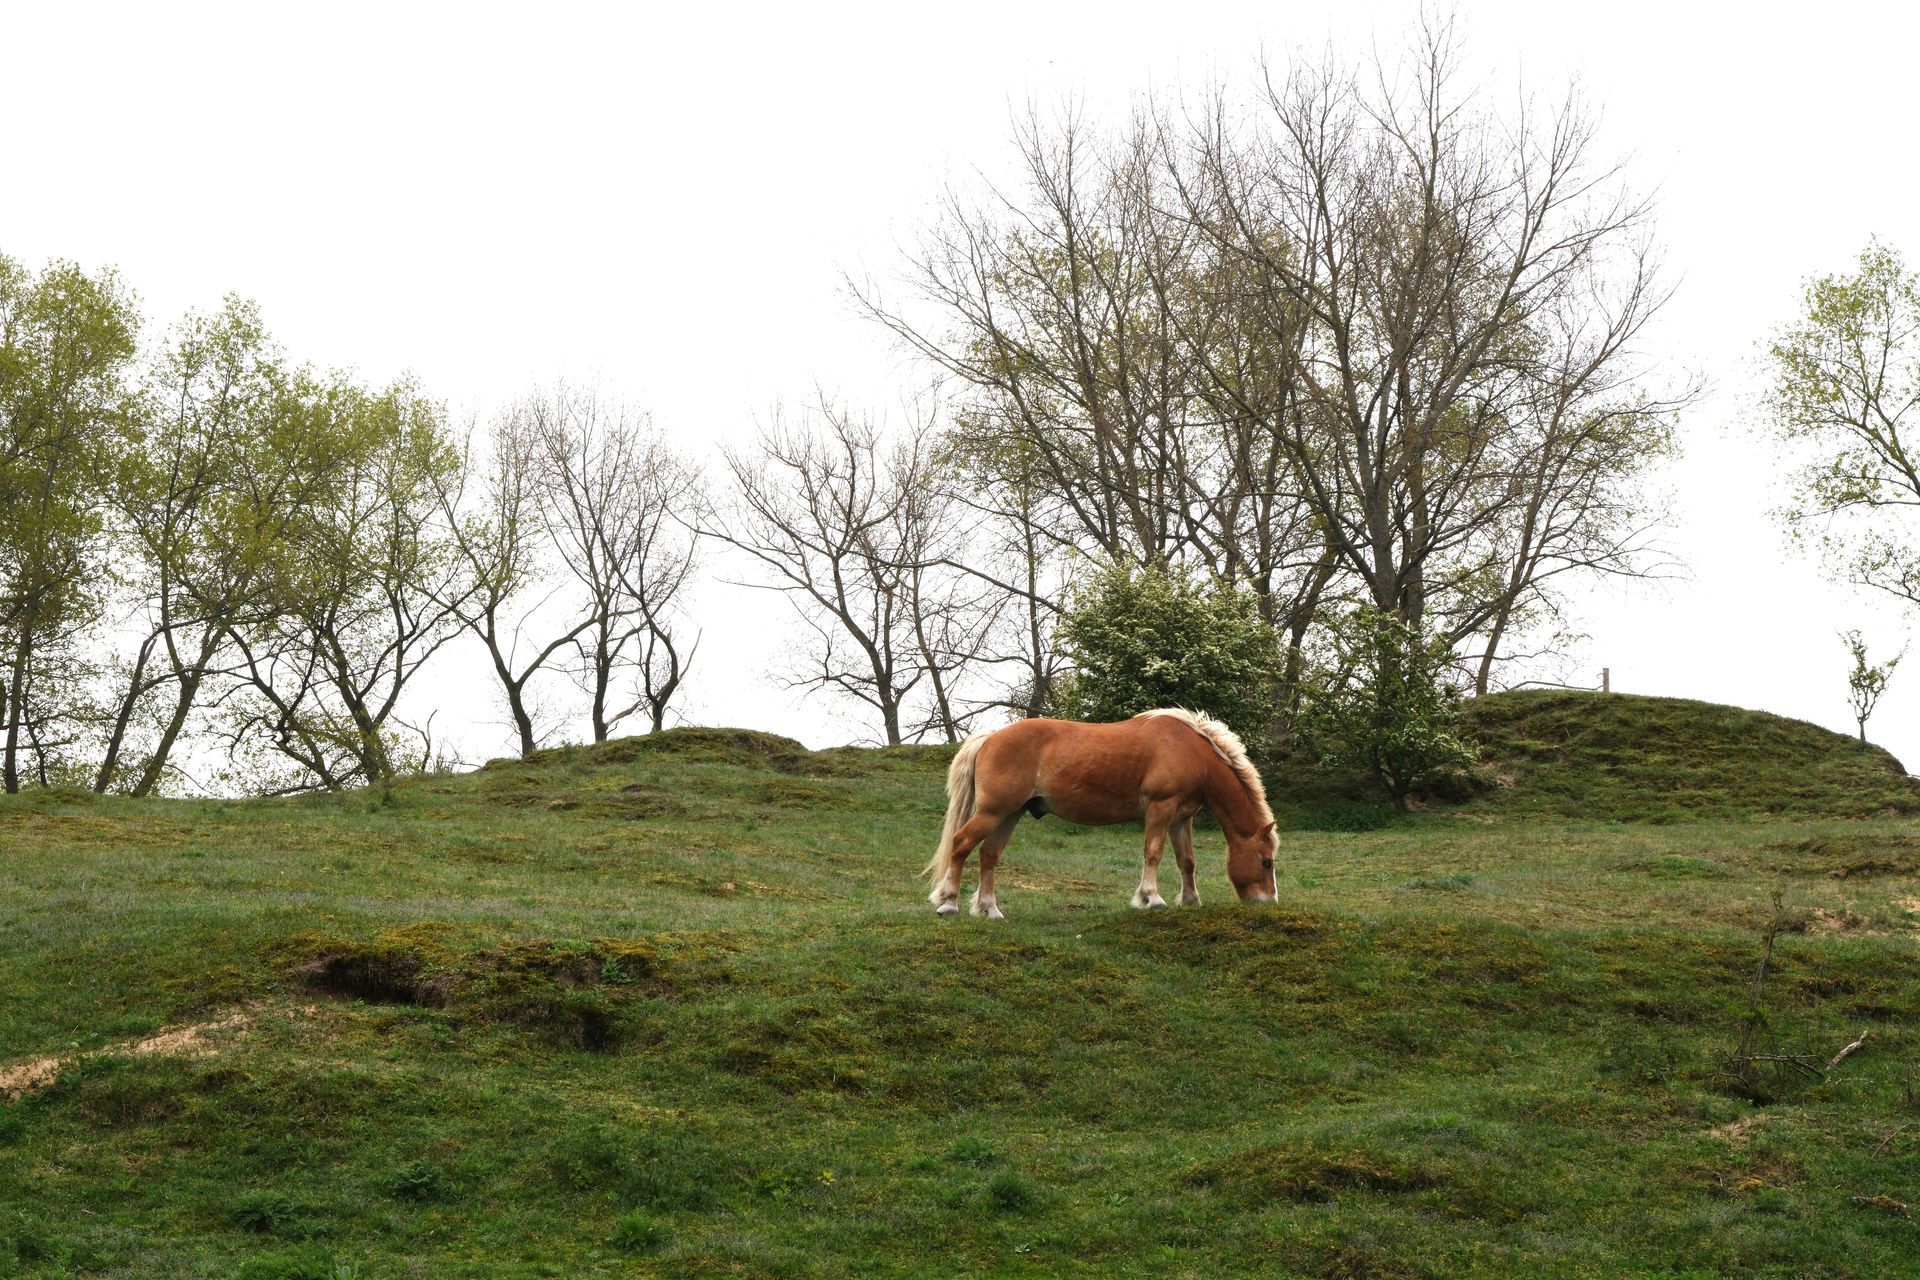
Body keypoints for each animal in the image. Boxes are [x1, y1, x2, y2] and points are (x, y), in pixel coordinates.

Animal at [923, 708, 1279, 919]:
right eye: (1266, 862)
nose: (1269, 902)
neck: (1192, 751)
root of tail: (991, 738)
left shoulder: (1181, 817)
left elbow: (1186, 860)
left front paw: (1190, 900)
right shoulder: (1160, 809)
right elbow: (1153, 853)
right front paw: (1151, 898)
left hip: (1009, 813)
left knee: (989, 855)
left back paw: (990, 909)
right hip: (993, 811)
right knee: (961, 843)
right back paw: (949, 903)